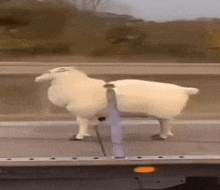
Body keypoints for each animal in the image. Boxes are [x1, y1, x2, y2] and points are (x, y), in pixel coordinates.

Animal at [35, 66, 199, 140]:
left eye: (49, 72)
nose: (36, 78)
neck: (74, 85)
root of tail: (184, 90)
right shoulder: (87, 113)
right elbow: (86, 124)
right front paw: (85, 134)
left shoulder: (82, 111)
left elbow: (81, 124)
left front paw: (79, 136)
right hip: (163, 113)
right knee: (164, 124)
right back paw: (159, 134)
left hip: (165, 112)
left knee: (166, 125)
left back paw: (163, 136)